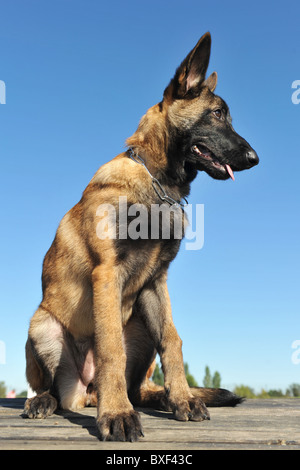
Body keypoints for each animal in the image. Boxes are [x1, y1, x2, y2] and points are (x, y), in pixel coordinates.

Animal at [23, 33, 258, 440]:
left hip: (140, 328)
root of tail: (87, 392)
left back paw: (160, 397)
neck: (157, 185)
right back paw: (45, 401)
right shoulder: (107, 274)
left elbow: (173, 341)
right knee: (50, 386)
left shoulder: (156, 283)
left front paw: (182, 399)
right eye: (217, 114)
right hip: (41, 326)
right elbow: (110, 348)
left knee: (140, 386)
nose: (255, 158)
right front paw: (117, 414)